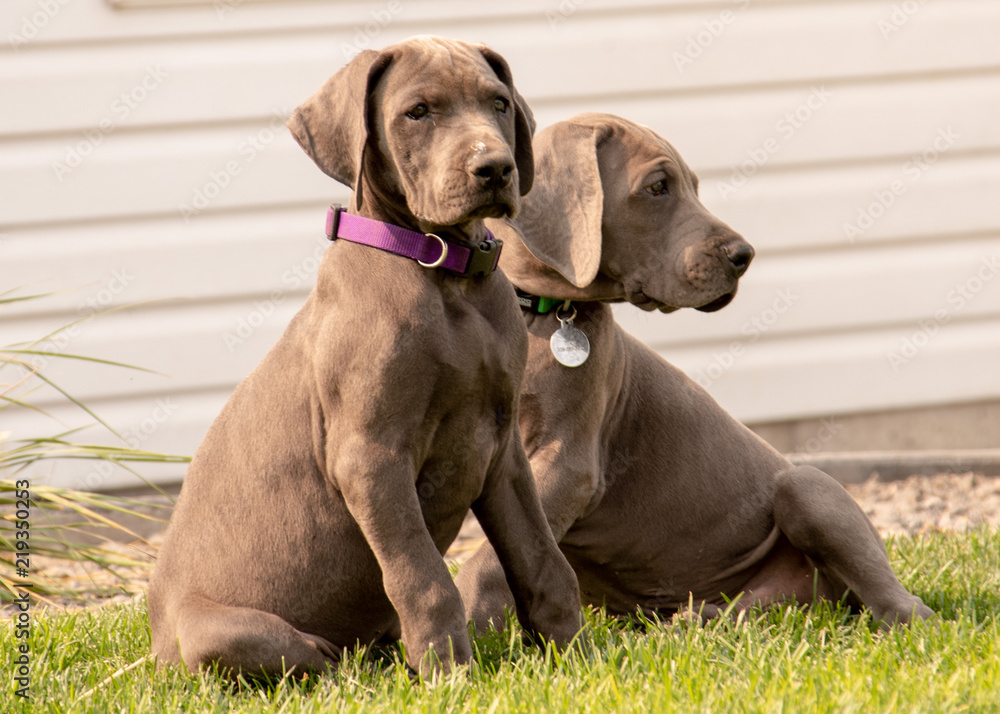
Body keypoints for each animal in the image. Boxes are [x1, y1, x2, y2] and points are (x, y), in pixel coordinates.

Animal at [147, 39, 580, 680]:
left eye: (498, 103)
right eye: (417, 112)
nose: (496, 168)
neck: (444, 272)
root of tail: (155, 650)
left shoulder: (503, 451)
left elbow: (543, 561)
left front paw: (580, 654)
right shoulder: (371, 457)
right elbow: (424, 580)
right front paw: (450, 677)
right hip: (221, 634)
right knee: (310, 657)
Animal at [458, 112, 932, 628]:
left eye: (694, 187)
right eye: (658, 187)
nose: (744, 256)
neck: (539, 312)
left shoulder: (567, 462)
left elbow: (489, 556)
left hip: (806, 488)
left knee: (902, 602)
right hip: (765, 598)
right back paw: (686, 622)